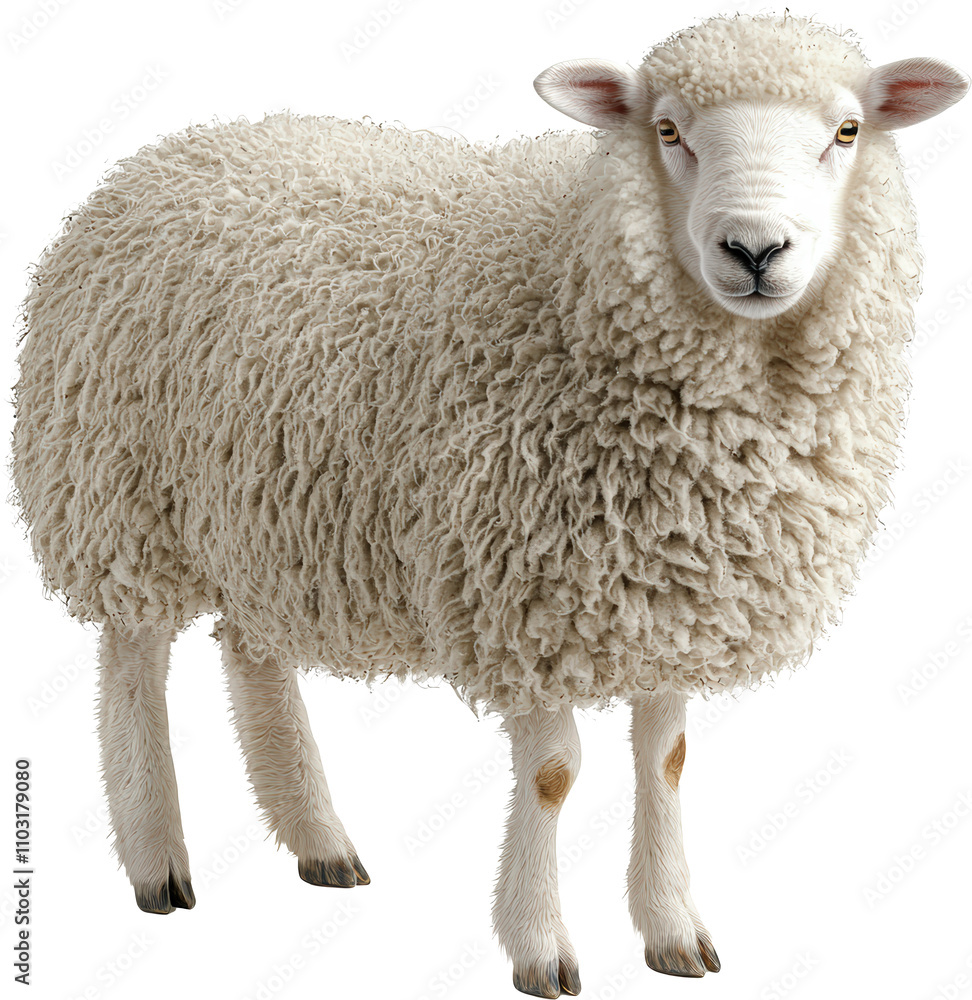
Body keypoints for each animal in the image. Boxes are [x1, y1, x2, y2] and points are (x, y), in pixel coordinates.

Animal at [10, 12, 968, 997]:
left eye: (847, 131)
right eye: (667, 130)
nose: (754, 250)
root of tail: (176, 149)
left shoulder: (668, 594)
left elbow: (665, 762)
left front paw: (672, 930)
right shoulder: (525, 594)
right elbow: (552, 775)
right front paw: (540, 944)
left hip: (261, 508)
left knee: (252, 649)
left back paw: (317, 837)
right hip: (117, 494)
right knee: (133, 665)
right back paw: (155, 858)